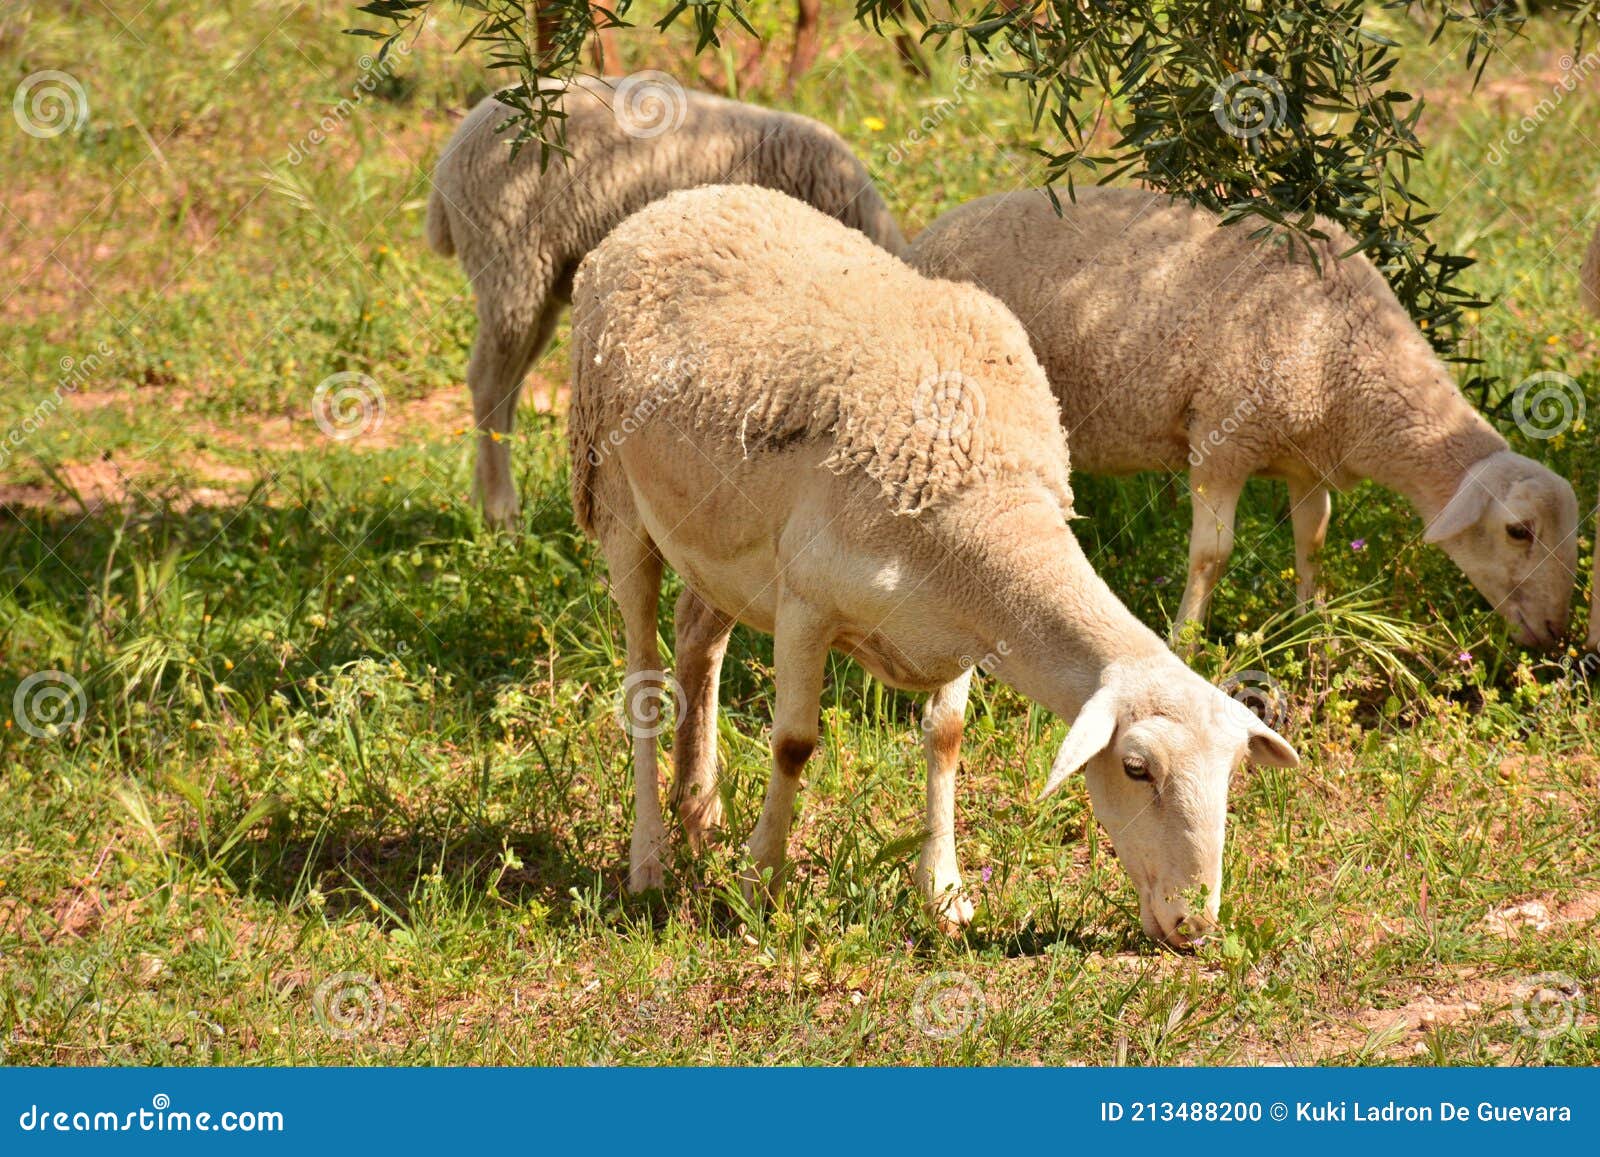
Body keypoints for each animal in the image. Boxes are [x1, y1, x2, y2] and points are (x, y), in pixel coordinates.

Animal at [425, 79, 908, 531]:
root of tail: (454, 146)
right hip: (510, 264)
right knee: (487, 382)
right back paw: (501, 513)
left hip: (541, 283)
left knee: (508, 386)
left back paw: (482, 503)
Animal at [566, 185, 1299, 947]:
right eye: (1135, 768)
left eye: (1234, 773)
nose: (1195, 924)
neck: (988, 503)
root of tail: (678, 201)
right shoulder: (806, 602)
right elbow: (794, 744)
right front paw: (759, 887)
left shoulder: (962, 630)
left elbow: (945, 740)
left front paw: (942, 893)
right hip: (613, 495)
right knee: (643, 680)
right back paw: (649, 858)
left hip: (719, 543)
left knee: (698, 642)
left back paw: (700, 814)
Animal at [908, 185, 1580, 646]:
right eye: (1519, 531)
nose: (1558, 634)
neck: (1349, 354)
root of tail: (924, 237)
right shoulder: (1222, 440)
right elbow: (1212, 557)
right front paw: (1185, 644)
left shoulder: (1307, 458)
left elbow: (1313, 544)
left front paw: (1315, 633)